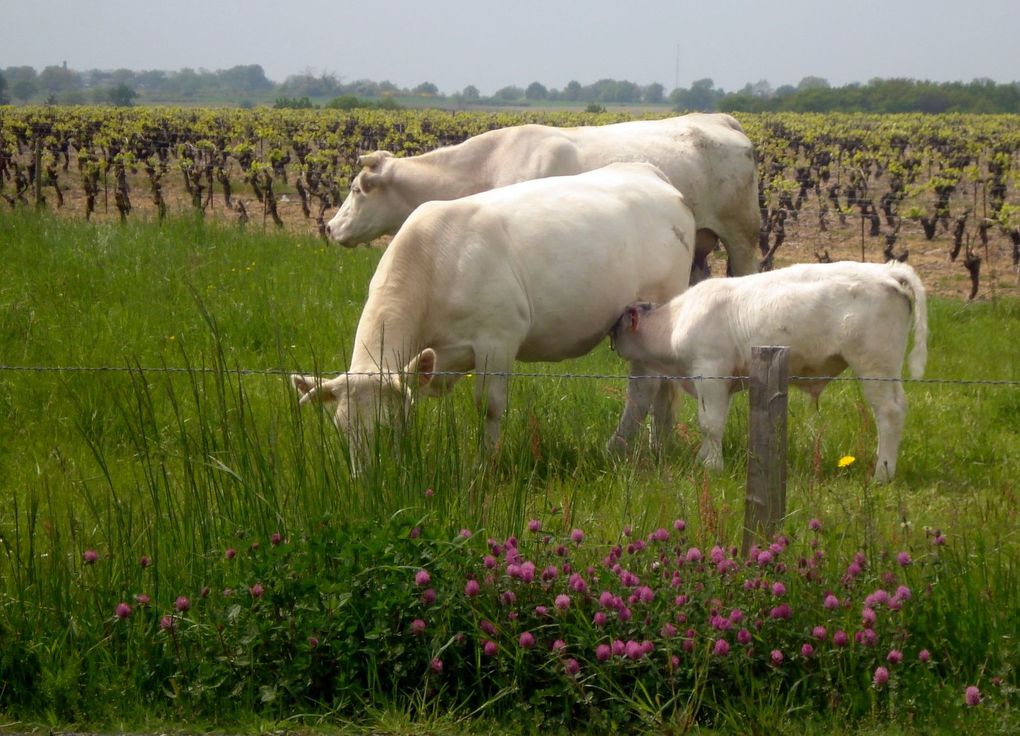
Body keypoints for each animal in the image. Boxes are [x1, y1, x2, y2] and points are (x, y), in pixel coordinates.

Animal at [291, 163, 697, 460]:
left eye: (387, 427)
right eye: (341, 429)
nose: (366, 482)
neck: (435, 262)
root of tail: (647, 172)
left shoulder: (497, 341)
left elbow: (489, 406)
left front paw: (486, 463)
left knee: (643, 389)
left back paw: (616, 448)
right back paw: (660, 446)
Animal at [607, 259, 930, 481]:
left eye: (617, 326)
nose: (609, 339)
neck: (675, 321)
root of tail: (886, 270)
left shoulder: (710, 372)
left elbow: (710, 423)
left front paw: (712, 466)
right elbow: (713, 423)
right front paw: (704, 458)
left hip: (874, 364)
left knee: (889, 412)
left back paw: (882, 474)